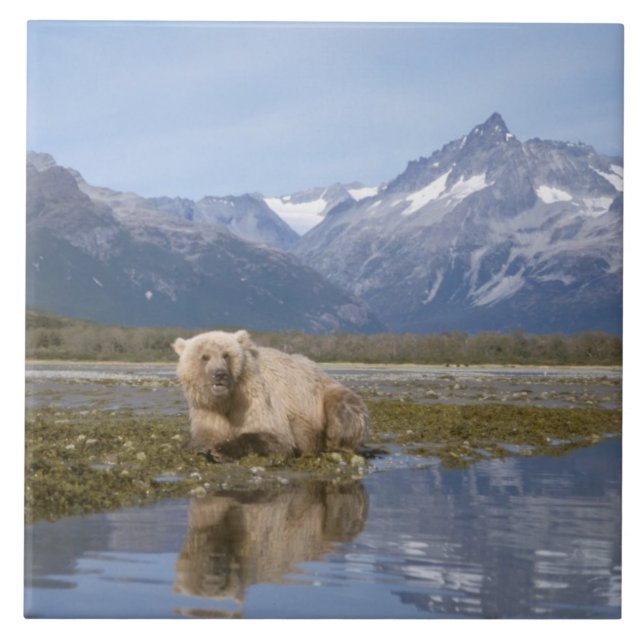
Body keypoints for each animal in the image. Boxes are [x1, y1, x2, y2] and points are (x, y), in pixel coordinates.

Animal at [172, 329, 369, 459]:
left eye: (226, 355)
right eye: (205, 356)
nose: (220, 374)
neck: (227, 399)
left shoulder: (256, 397)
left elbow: (274, 435)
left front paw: (221, 450)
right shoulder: (208, 408)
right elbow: (205, 433)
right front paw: (193, 446)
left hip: (325, 395)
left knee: (343, 409)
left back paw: (334, 444)